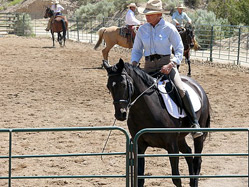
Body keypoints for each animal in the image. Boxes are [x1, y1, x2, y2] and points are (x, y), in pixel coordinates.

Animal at [103, 58, 210, 187]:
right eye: (108, 86)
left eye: (123, 84)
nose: (120, 114)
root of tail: (198, 88)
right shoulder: (140, 146)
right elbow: (140, 178)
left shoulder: (172, 146)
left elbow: (176, 179)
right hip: (180, 138)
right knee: (189, 154)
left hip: (198, 136)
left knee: (197, 160)